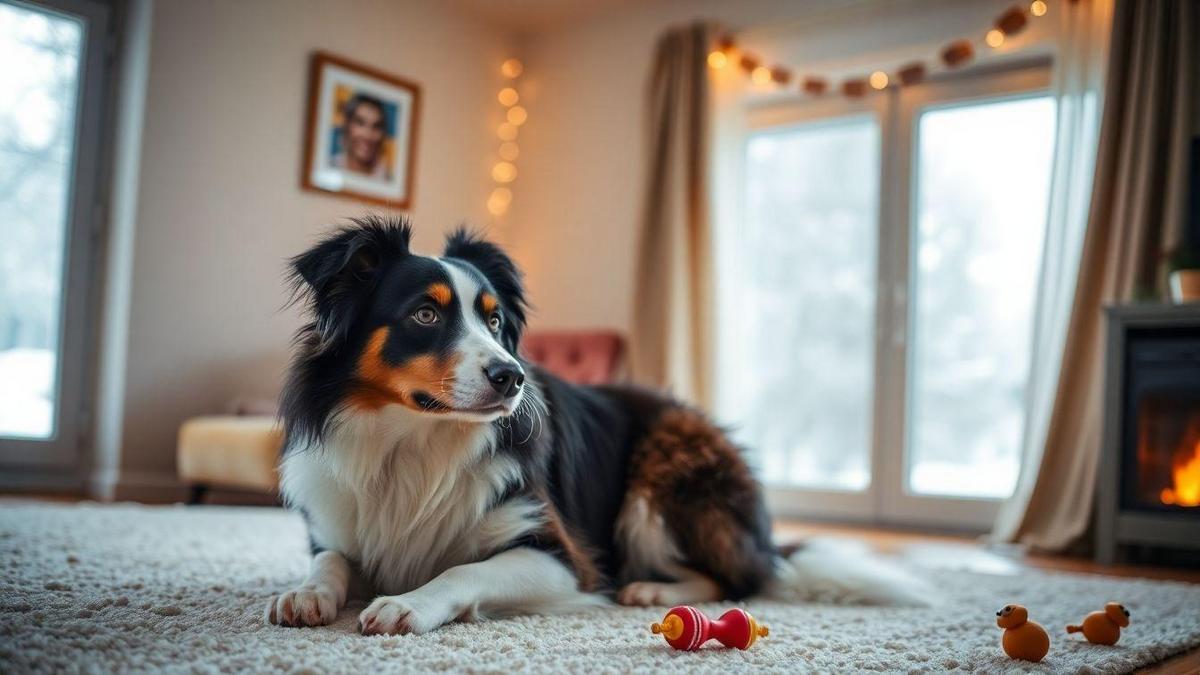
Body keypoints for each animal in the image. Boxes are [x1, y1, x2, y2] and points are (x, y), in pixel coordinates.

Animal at [265, 214, 916, 629]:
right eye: (425, 314)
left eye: (495, 322)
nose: (512, 377)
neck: (416, 443)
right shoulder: (336, 523)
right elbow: (329, 560)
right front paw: (304, 594)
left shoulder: (564, 559)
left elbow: (463, 572)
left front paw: (408, 603)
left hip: (664, 469)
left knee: (741, 577)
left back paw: (651, 587)